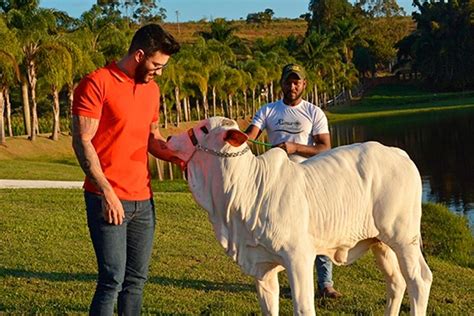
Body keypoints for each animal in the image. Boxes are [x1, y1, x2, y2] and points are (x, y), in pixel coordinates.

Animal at [168, 116, 434, 316]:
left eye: (204, 129)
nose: (169, 138)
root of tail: (399, 153)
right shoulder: (262, 265)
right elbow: (269, 308)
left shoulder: (299, 257)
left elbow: (304, 308)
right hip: (380, 242)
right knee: (396, 282)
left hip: (404, 238)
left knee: (419, 280)